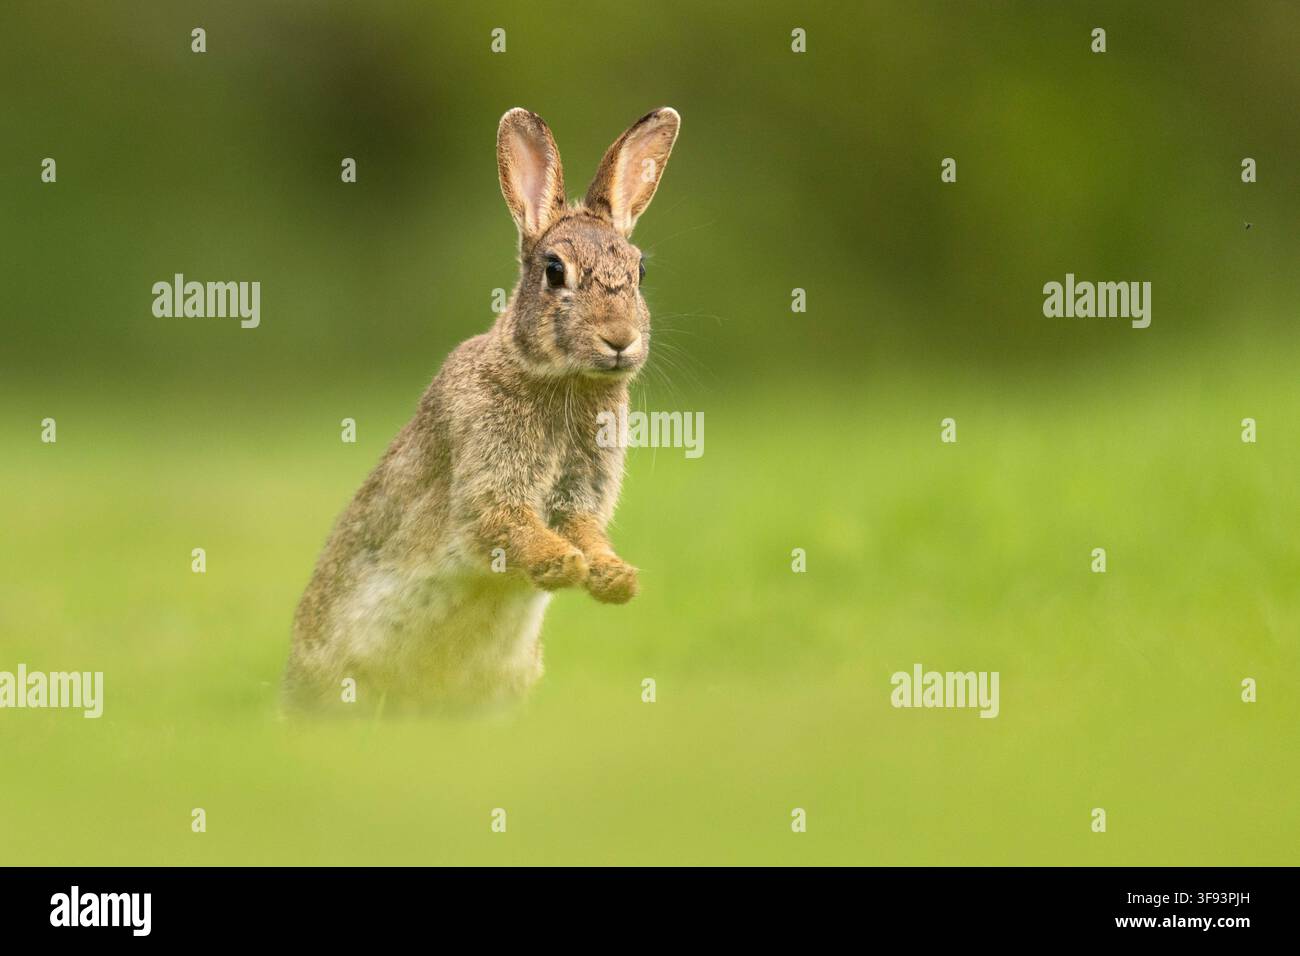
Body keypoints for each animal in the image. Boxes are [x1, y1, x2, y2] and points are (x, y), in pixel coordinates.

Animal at [283, 107, 681, 714]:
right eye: (555, 271)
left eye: (639, 272)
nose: (620, 339)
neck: (559, 381)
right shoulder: (486, 482)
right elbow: (501, 522)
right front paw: (563, 563)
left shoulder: (581, 497)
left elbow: (587, 530)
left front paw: (615, 578)